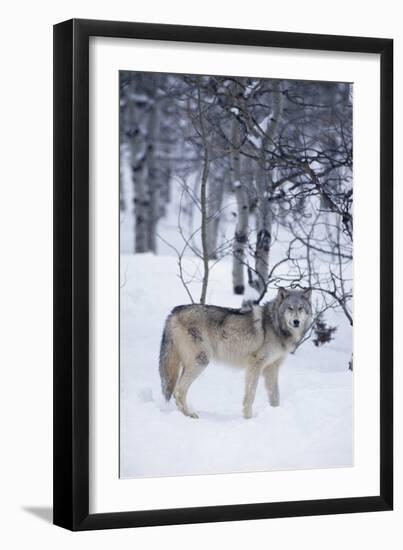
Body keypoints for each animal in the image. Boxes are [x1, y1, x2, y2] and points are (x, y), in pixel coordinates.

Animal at [159, 286, 312, 420]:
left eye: (301, 308)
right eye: (290, 308)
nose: (296, 322)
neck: (275, 325)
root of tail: (173, 312)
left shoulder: (271, 368)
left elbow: (275, 396)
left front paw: (276, 413)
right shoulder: (255, 364)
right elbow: (250, 394)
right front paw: (248, 418)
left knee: (177, 391)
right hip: (200, 362)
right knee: (178, 392)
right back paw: (190, 415)